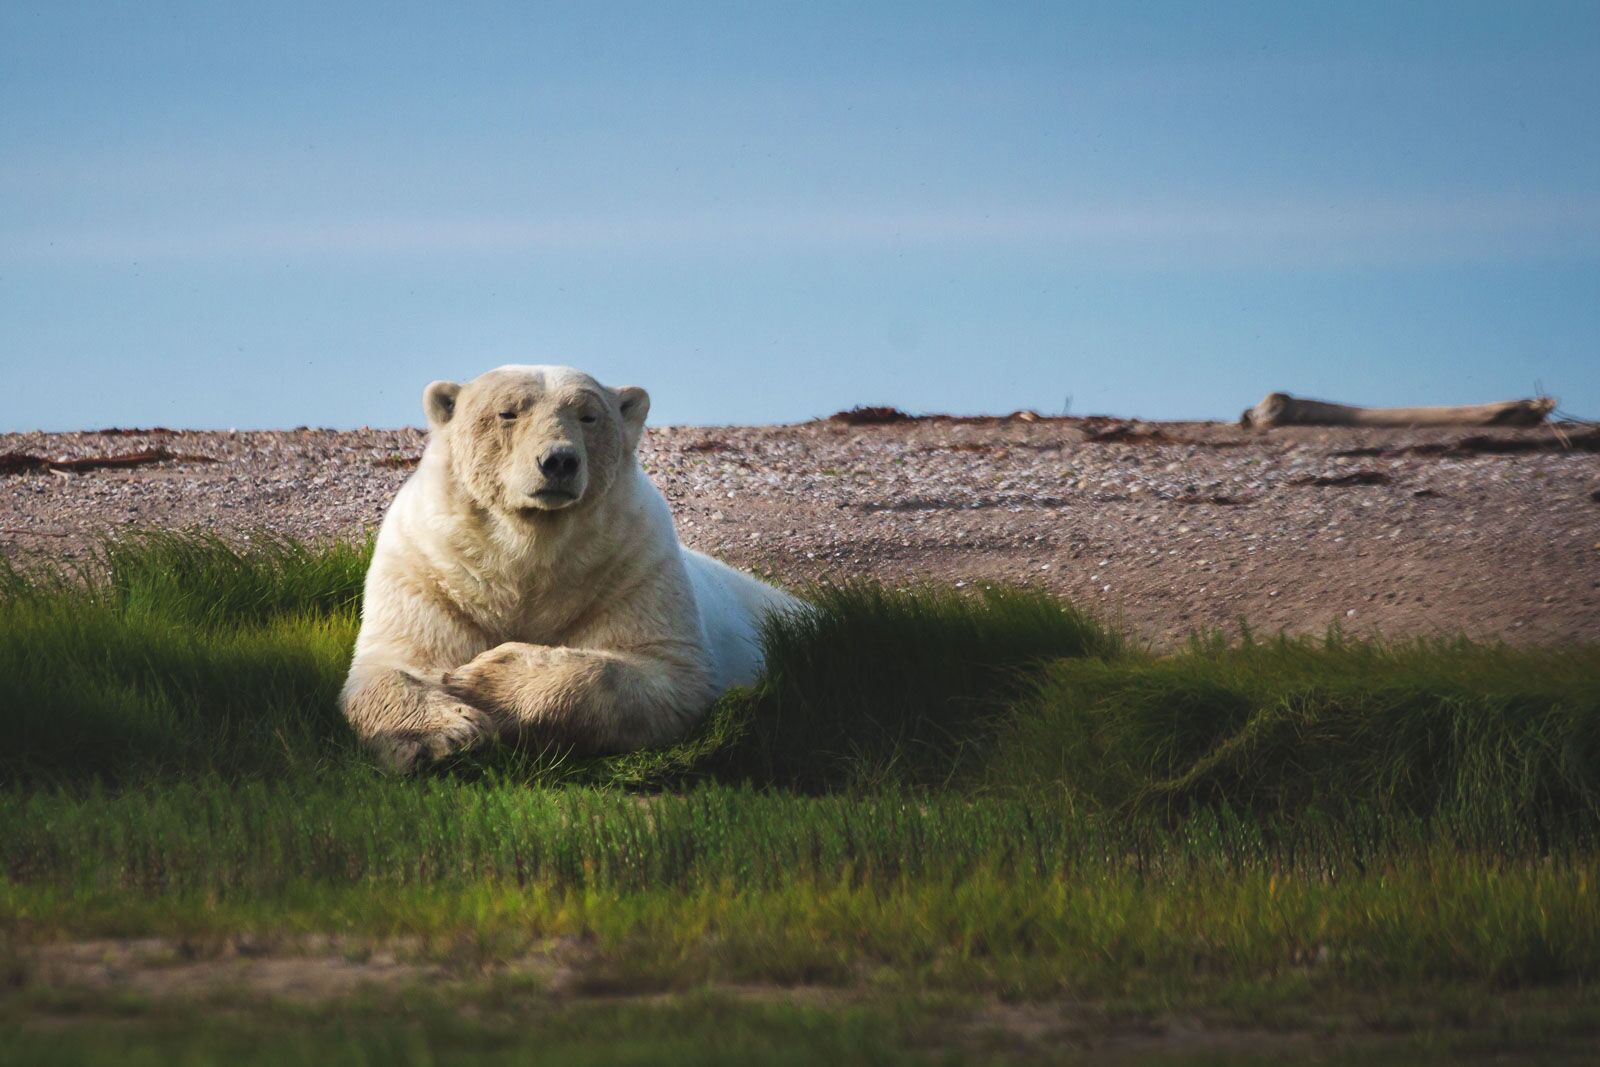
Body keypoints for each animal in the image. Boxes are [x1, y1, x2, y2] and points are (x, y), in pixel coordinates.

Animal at [345, 363, 806, 771]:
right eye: (508, 413)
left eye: (588, 416)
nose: (559, 462)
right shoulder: (427, 571)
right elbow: (393, 663)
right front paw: (443, 736)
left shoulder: (635, 566)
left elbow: (663, 672)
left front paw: (482, 681)